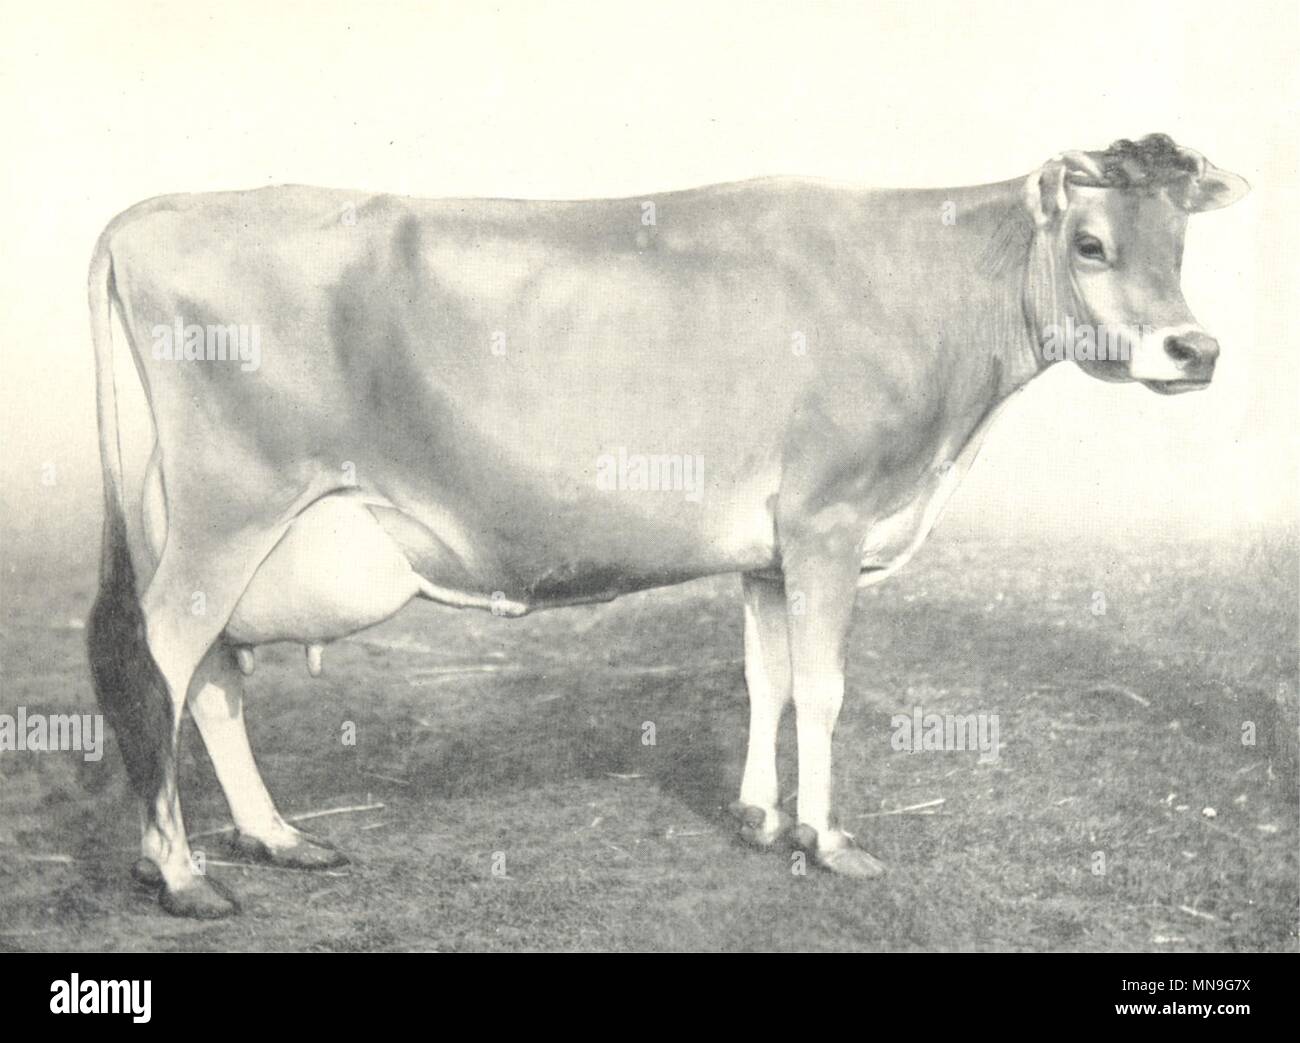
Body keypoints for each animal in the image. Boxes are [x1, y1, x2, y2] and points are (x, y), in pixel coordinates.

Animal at [86, 133, 1242, 915]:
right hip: (225, 511)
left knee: (213, 674)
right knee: (162, 656)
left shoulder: (770, 551)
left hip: (209, 525)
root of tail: (145, 216)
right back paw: (182, 873)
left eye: (1180, 243)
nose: (1195, 350)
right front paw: (828, 838)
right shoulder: (827, 519)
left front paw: (759, 815)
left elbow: (767, 678)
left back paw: (274, 837)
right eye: (1090, 243)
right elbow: (823, 688)